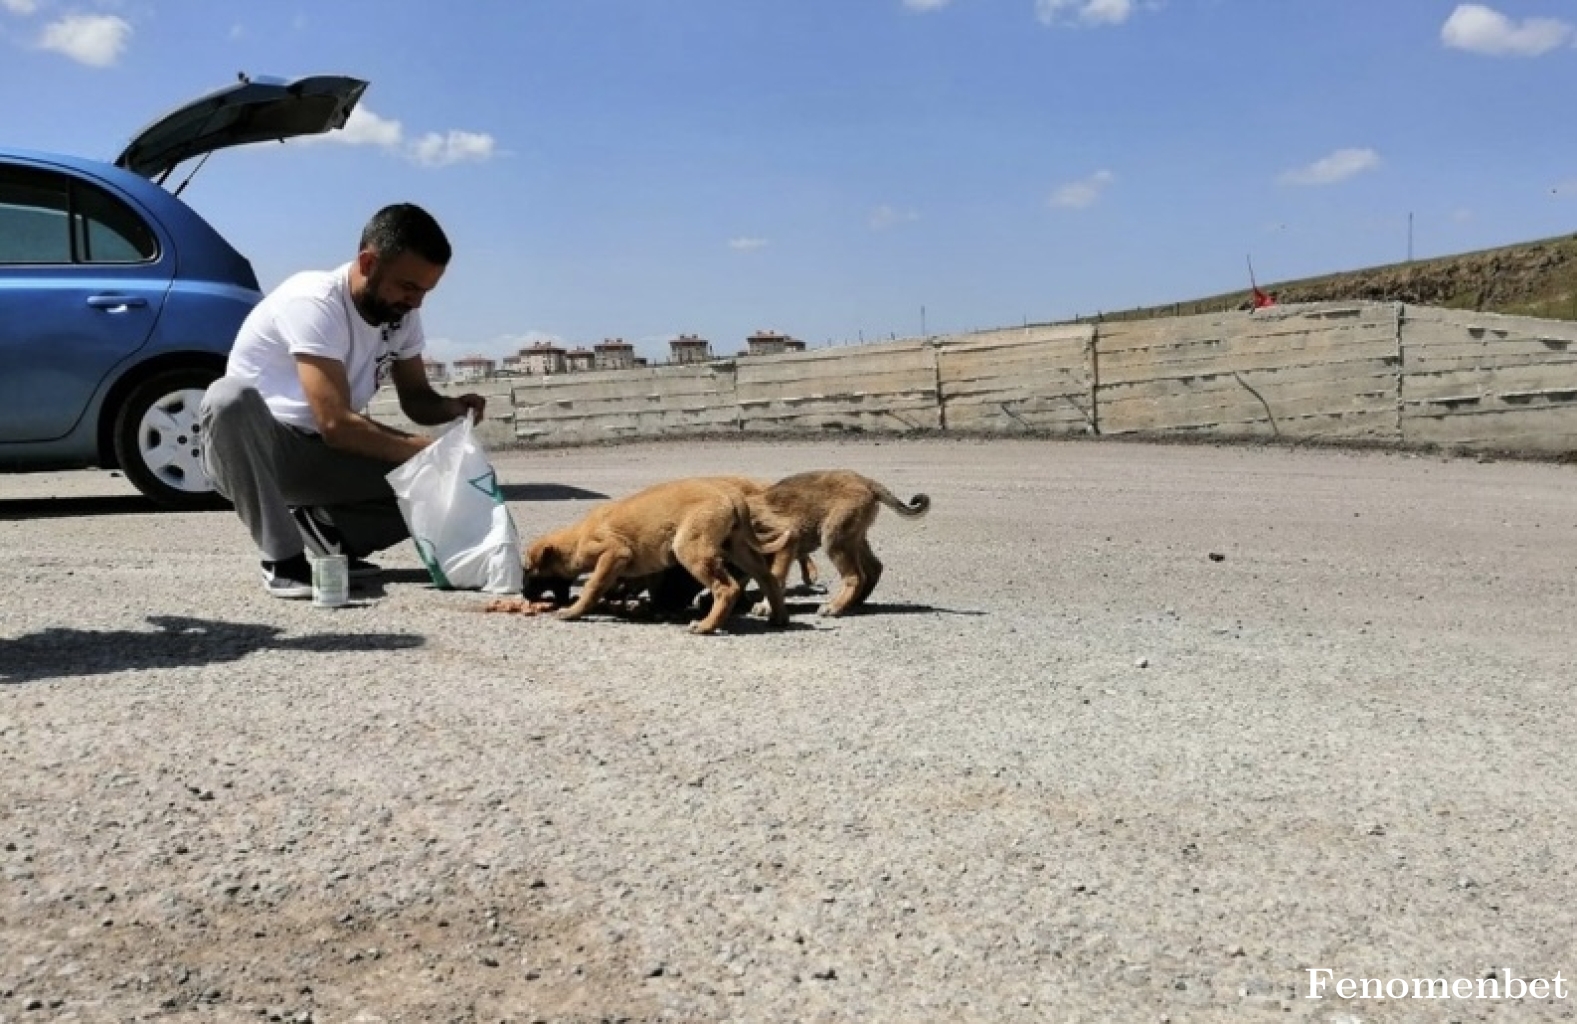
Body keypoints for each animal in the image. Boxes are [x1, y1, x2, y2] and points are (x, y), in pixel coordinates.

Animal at [523, 476, 788, 631]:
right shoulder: (650, 568)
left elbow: (593, 585)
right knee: (768, 578)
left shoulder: (614, 552)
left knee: (726, 588)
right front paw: (654, 609)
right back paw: (779, 618)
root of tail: (731, 494)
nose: (524, 595)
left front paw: (573, 611)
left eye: (527, 571)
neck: (576, 537)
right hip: (737, 548)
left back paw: (706, 626)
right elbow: (653, 589)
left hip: (690, 548)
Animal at [747, 470, 927, 615]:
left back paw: (834, 607)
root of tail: (866, 481)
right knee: (875, 567)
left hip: (833, 538)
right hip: (854, 538)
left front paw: (766, 606)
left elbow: (775, 577)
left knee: (855, 577)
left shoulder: (786, 537)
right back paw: (854, 602)